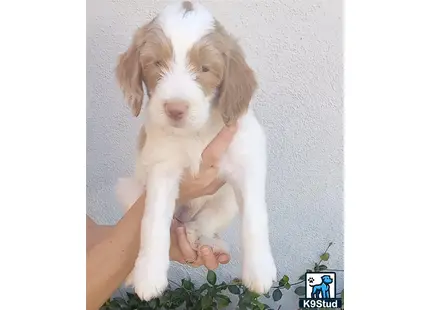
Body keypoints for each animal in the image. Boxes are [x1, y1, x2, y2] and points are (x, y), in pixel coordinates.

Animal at [114, 0, 276, 300]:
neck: (196, 134)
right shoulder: (162, 169)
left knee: (206, 222)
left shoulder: (248, 158)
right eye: (156, 63)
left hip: (226, 200)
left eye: (205, 68)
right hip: (129, 189)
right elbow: (153, 222)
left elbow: (255, 218)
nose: (175, 109)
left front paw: (259, 270)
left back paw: (203, 240)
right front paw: (148, 275)